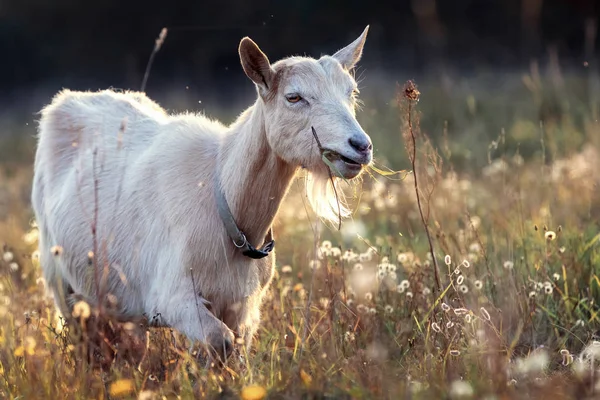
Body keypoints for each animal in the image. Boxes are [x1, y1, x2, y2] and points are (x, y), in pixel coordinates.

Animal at [30, 25, 372, 360]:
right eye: (294, 97)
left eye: (352, 93)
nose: (360, 146)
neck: (226, 203)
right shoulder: (173, 297)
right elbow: (220, 340)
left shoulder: (241, 306)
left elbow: (235, 349)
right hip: (61, 281)